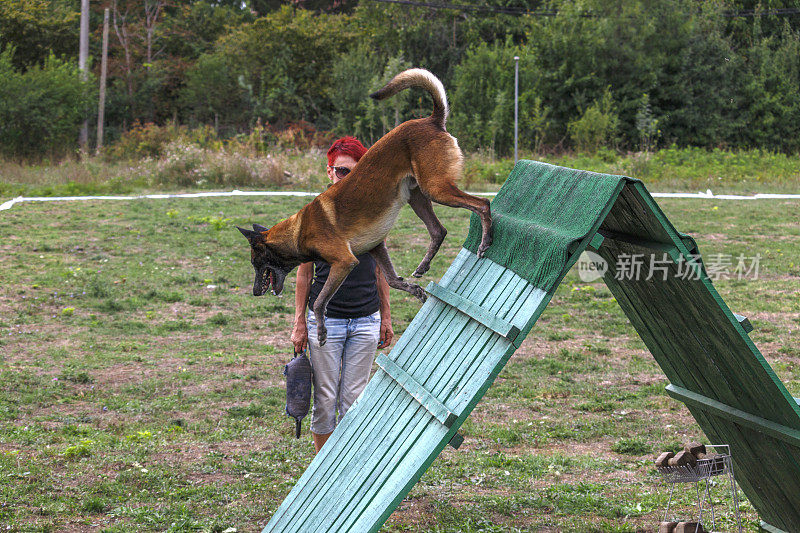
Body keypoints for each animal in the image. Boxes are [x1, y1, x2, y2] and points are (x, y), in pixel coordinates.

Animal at [241, 67, 494, 344]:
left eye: (256, 263)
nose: (255, 292)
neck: (298, 231)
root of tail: (431, 119)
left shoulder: (344, 262)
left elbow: (319, 302)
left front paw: (321, 332)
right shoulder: (376, 247)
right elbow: (392, 280)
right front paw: (413, 289)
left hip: (435, 189)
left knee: (482, 203)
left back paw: (485, 242)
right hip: (417, 196)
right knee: (439, 230)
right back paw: (423, 266)